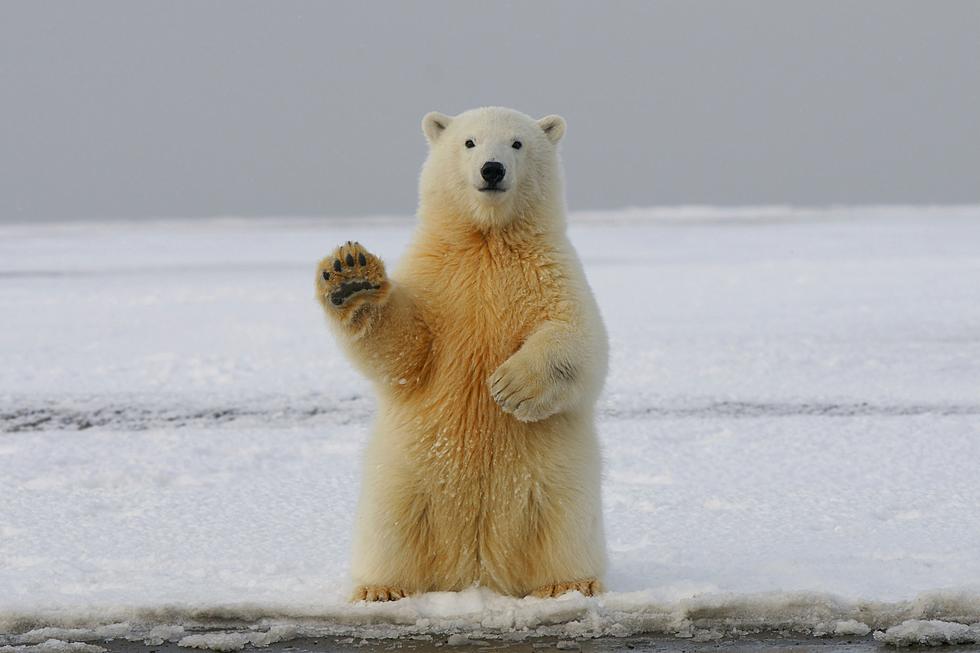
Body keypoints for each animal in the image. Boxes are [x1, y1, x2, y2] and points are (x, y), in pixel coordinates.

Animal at [314, 107, 604, 600]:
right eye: (469, 142)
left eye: (517, 143)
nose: (492, 169)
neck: (487, 240)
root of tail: (475, 571)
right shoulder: (437, 279)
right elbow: (406, 350)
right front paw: (351, 276)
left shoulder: (551, 272)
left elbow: (579, 338)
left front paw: (510, 386)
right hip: (404, 478)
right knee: (391, 528)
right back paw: (380, 589)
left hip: (557, 482)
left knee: (564, 526)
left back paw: (570, 584)